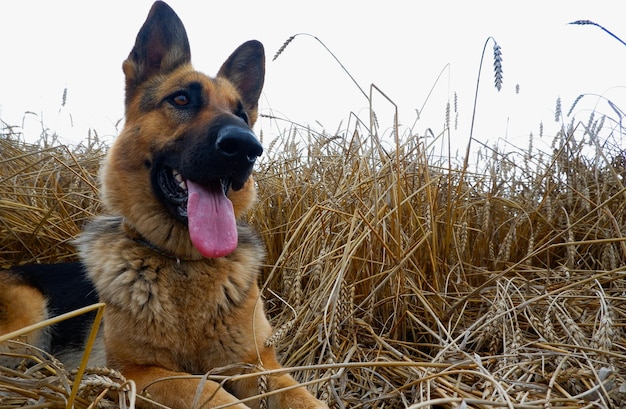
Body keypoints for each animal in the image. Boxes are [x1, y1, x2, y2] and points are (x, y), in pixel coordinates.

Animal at [0, 1, 330, 406]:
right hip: (26, 321)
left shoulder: (257, 364)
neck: (183, 262)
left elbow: (300, 396)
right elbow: (213, 395)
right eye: (181, 99)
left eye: (241, 114)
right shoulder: (140, 373)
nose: (247, 147)